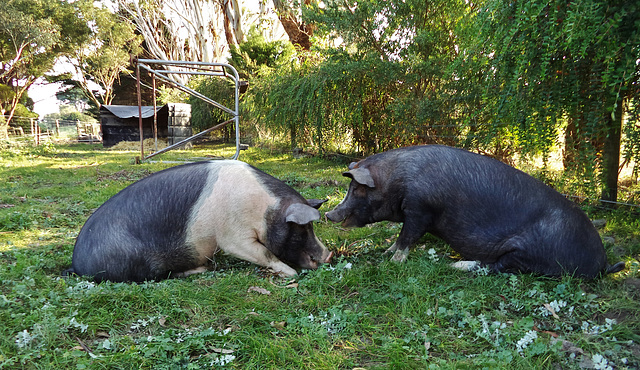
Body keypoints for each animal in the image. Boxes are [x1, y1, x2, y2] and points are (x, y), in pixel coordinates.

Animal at [67, 160, 332, 284]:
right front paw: (291, 273)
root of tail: (77, 265)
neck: (265, 209)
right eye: (301, 229)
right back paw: (202, 268)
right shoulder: (233, 235)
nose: (329, 254)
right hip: (143, 263)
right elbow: (263, 253)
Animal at [328, 145, 628, 278]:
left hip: (530, 252)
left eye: (357, 190)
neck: (396, 180)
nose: (330, 214)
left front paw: (392, 260)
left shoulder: (420, 209)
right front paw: (386, 252)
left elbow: (408, 236)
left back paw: (454, 265)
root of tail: (601, 263)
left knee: (497, 267)